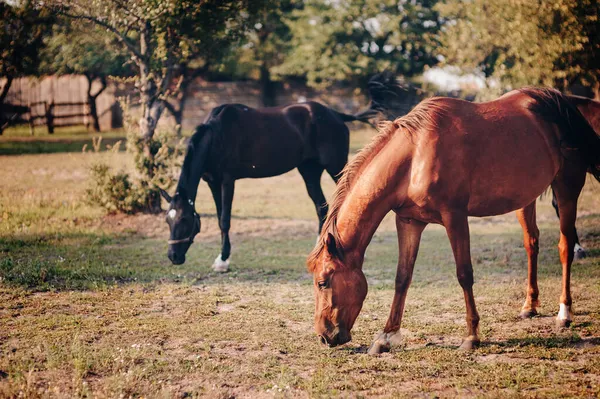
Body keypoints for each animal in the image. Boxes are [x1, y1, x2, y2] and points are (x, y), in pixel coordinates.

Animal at [308, 87, 596, 354]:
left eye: (323, 282)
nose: (324, 336)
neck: (415, 156)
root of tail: (558, 101)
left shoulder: (455, 217)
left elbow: (464, 274)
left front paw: (471, 336)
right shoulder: (409, 221)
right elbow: (402, 277)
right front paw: (386, 337)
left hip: (567, 189)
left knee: (565, 247)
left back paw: (564, 313)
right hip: (526, 199)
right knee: (531, 244)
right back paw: (530, 306)